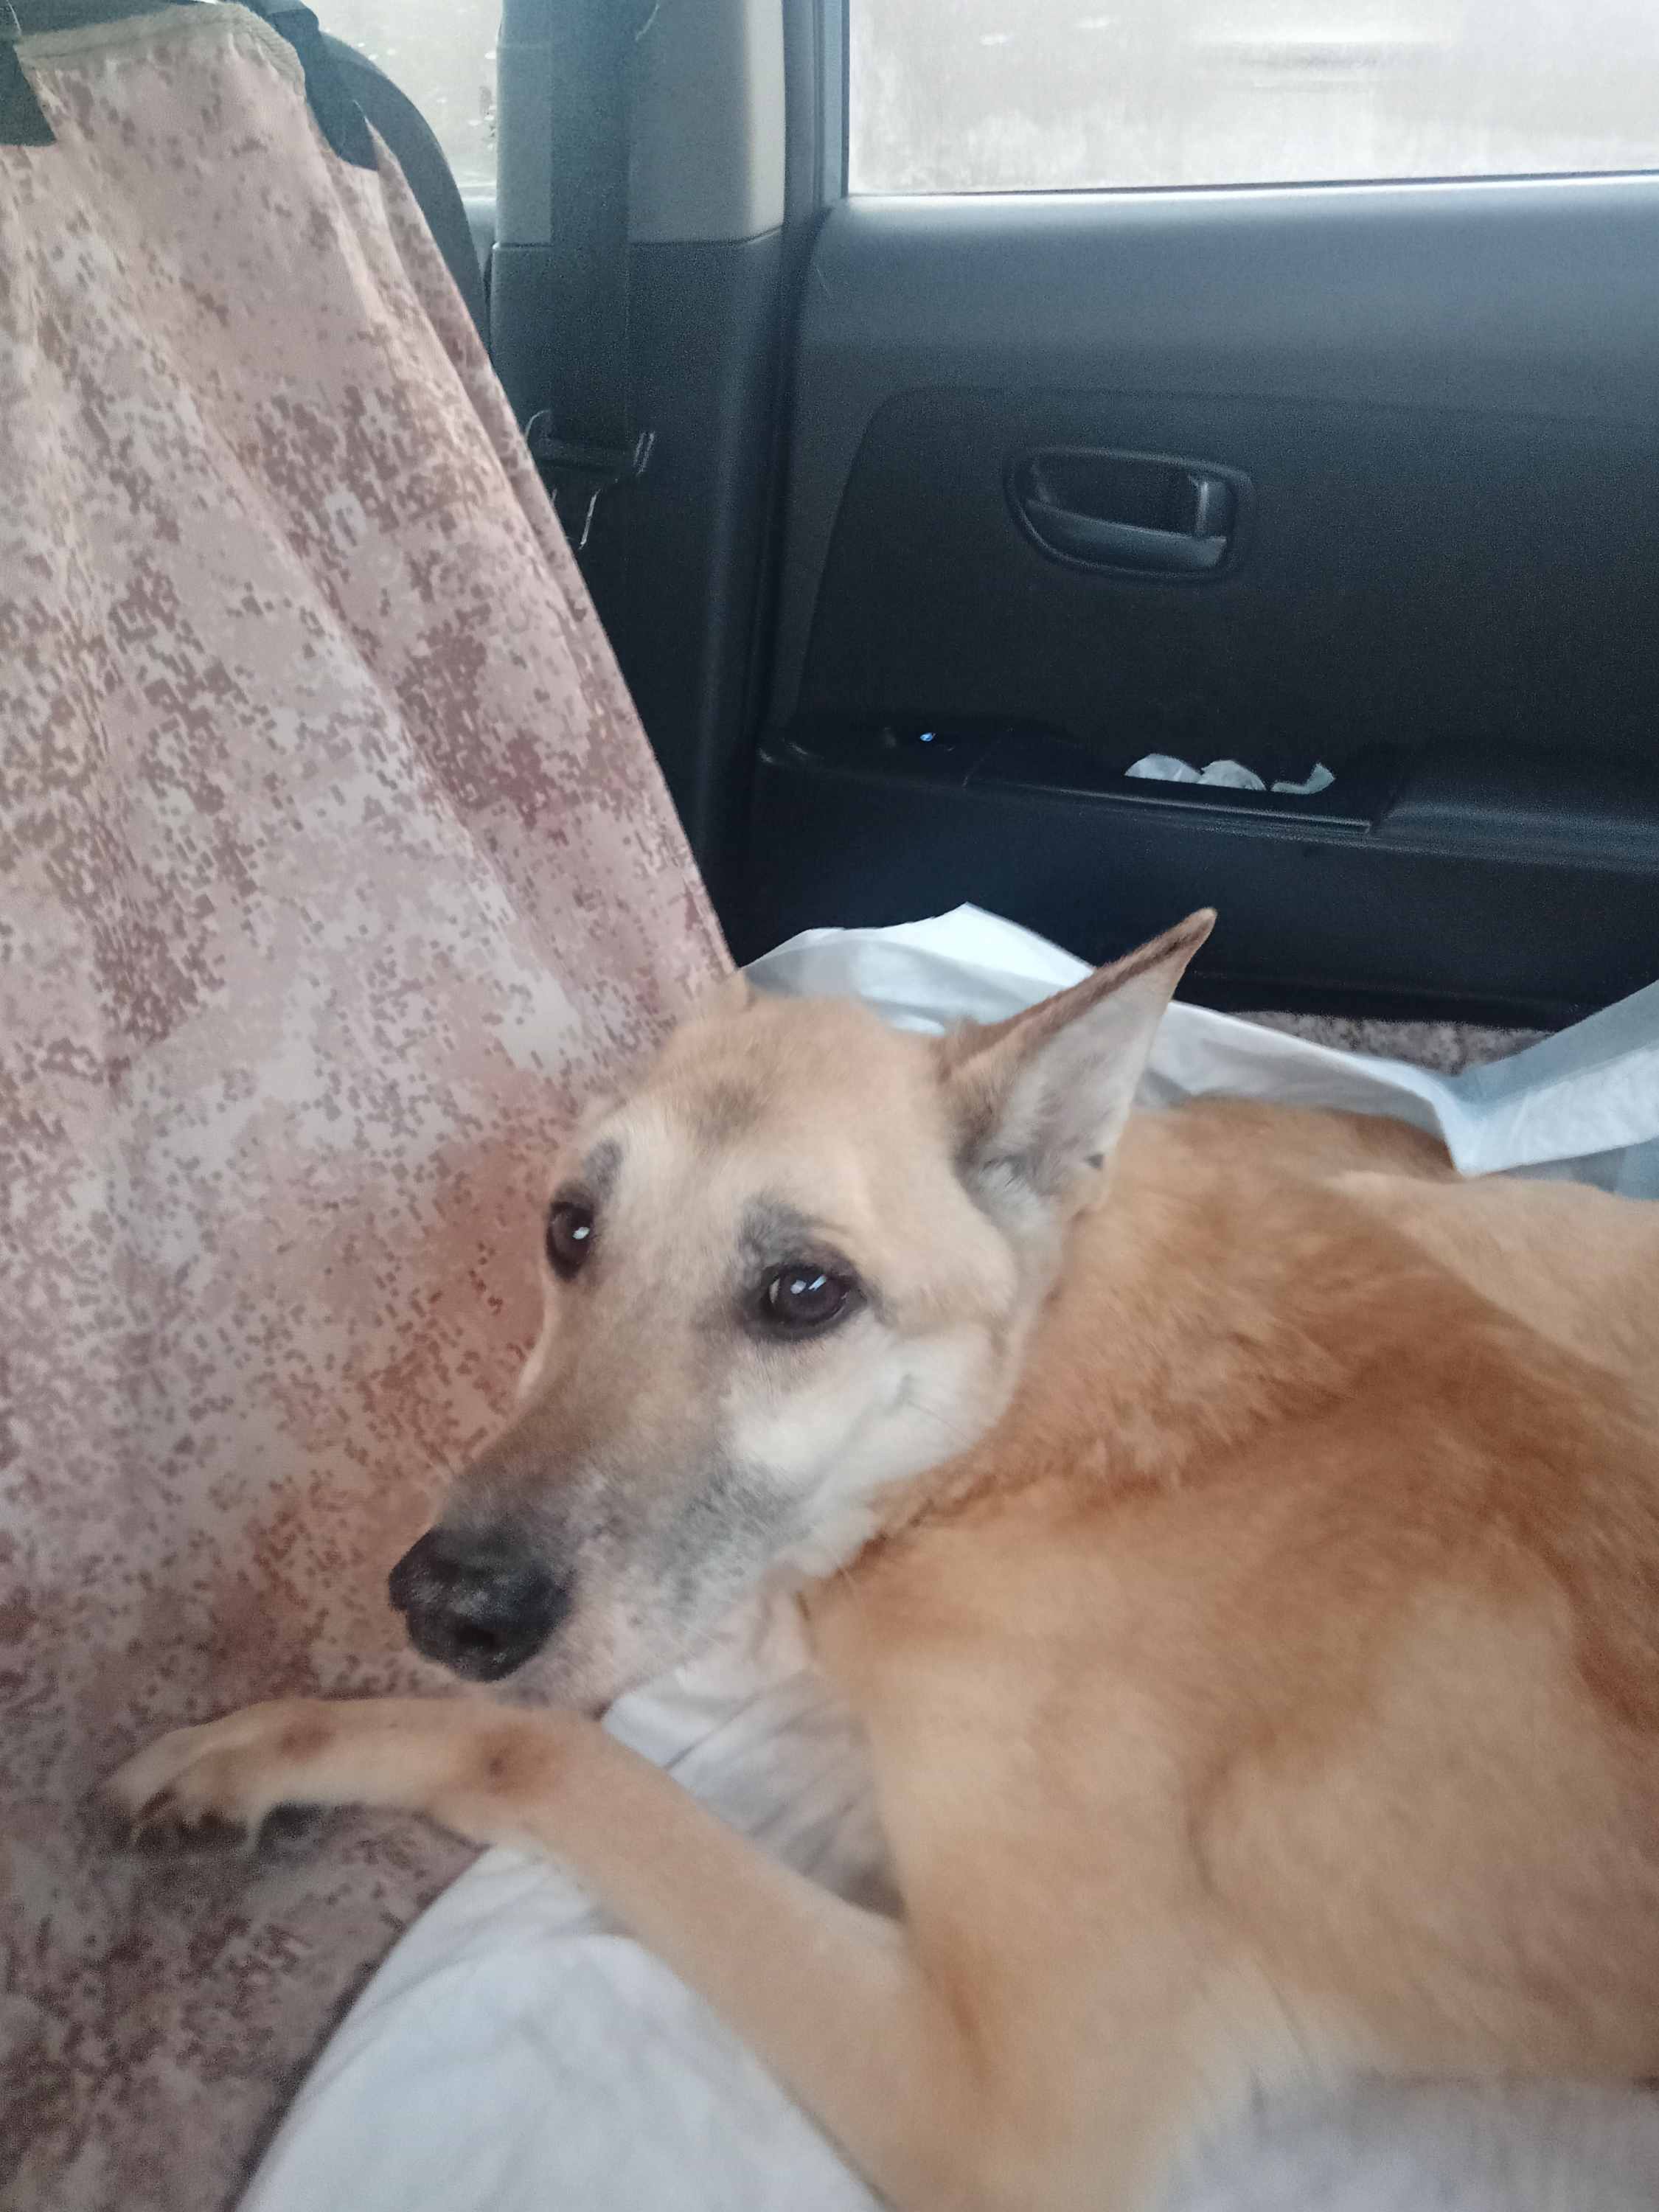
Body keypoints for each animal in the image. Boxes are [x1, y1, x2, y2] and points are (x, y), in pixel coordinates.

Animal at [109, 913, 1659, 2212]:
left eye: (805, 1293)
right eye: (570, 1230)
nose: (445, 1605)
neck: (1038, 1414)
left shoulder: (997, 2109)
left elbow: (543, 1754)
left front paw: (273, 1750)